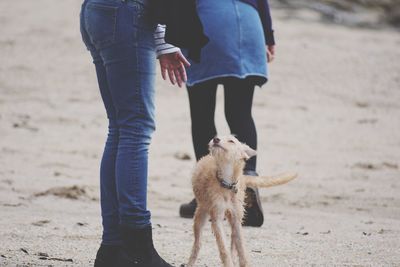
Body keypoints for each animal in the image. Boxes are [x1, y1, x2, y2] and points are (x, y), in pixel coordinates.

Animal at [186, 136, 296, 267]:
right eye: (218, 137)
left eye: (231, 141)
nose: (215, 139)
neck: (227, 184)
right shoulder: (217, 219)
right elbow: (223, 248)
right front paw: (229, 263)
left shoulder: (236, 220)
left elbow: (241, 247)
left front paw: (243, 263)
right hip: (200, 216)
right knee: (197, 243)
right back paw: (191, 261)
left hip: (235, 217)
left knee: (233, 240)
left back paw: (234, 257)